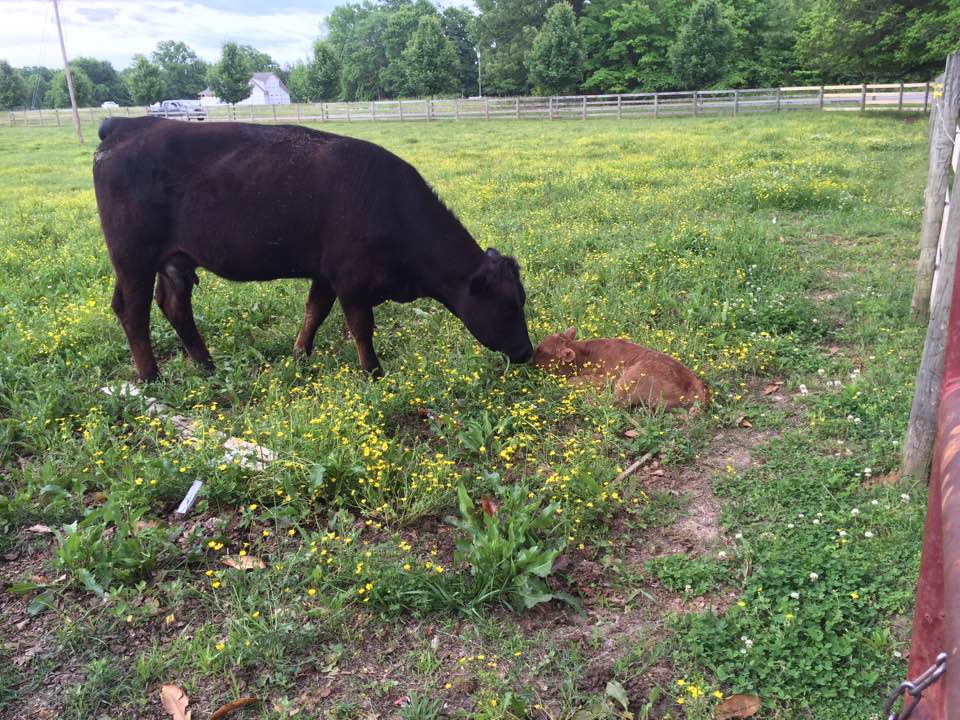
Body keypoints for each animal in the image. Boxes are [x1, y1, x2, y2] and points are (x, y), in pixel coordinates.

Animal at [92, 117, 533, 381]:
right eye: (509, 307)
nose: (527, 352)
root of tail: (128, 124)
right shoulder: (350, 278)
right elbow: (361, 326)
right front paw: (373, 372)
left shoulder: (325, 273)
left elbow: (314, 312)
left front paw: (300, 354)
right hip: (132, 257)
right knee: (133, 312)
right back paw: (151, 377)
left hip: (174, 259)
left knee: (174, 305)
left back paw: (207, 364)